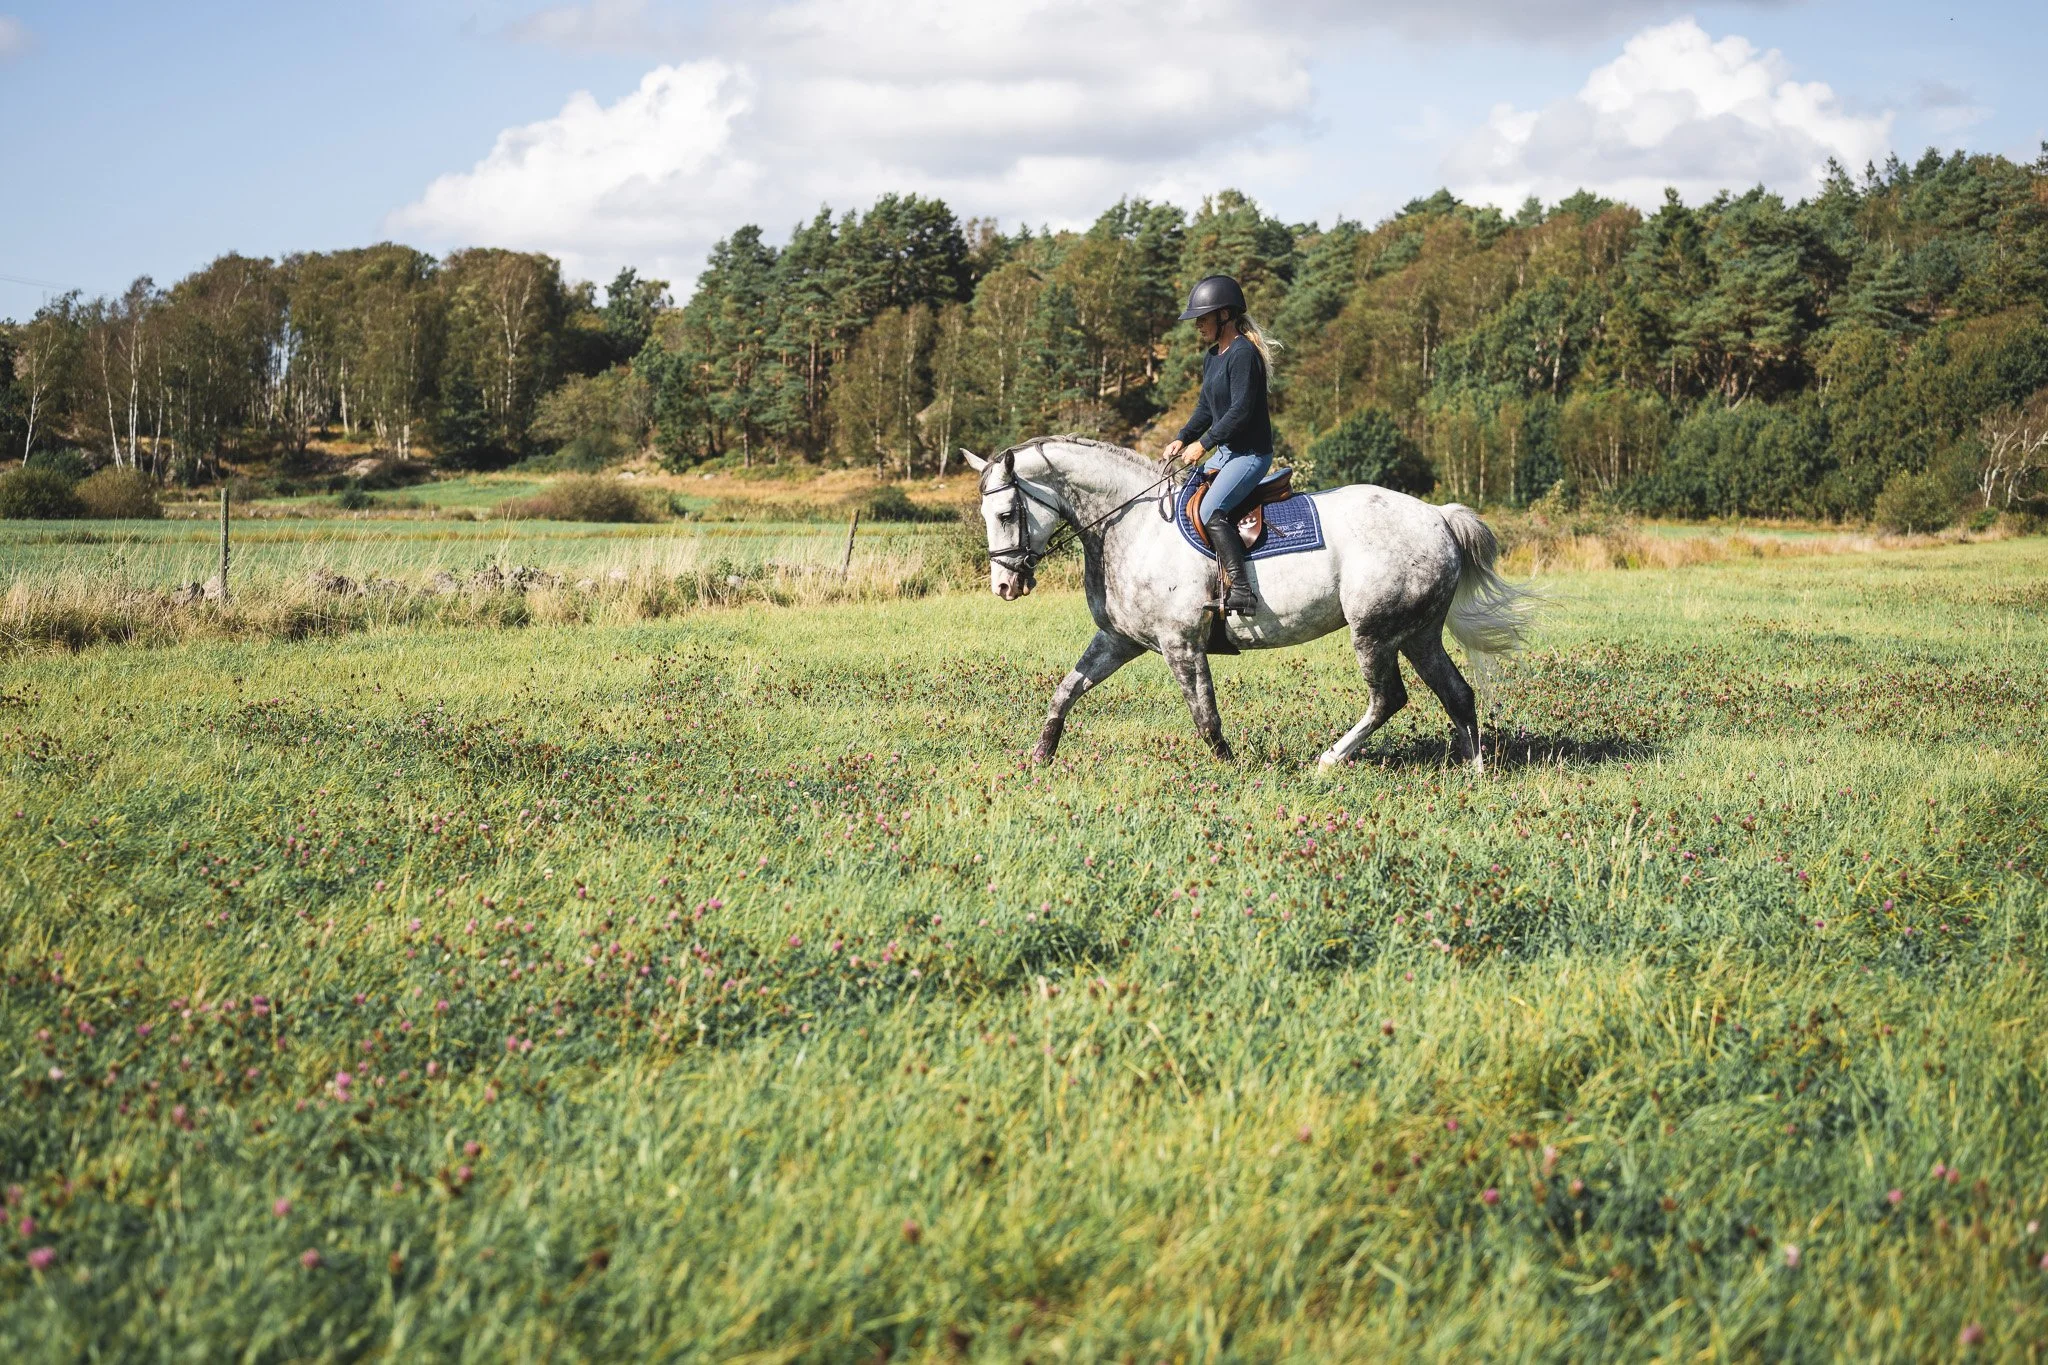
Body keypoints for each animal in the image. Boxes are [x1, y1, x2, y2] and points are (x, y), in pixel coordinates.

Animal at [959, 436, 1541, 770]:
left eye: (1007, 513)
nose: (1004, 587)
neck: (1134, 524)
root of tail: (1438, 517)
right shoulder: (1119, 640)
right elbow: (1065, 692)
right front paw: (1039, 759)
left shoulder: (1181, 644)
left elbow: (1205, 716)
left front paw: (1229, 770)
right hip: (1418, 634)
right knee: (1456, 694)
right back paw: (1475, 773)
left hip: (1374, 632)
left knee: (1388, 699)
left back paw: (1329, 760)